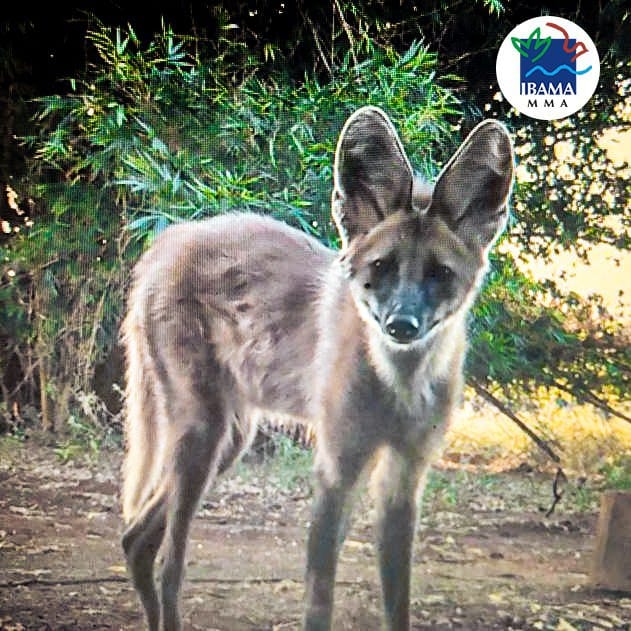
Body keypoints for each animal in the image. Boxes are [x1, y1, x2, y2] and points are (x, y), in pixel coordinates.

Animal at [121, 106, 516, 628]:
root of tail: (170, 237)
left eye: (440, 274)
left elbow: (398, 606)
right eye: (382, 267)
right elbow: (318, 603)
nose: (402, 325)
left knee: (136, 540)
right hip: (203, 437)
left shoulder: (403, 476)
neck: (398, 386)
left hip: (229, 440)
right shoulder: (337, 469)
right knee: (169, 564)